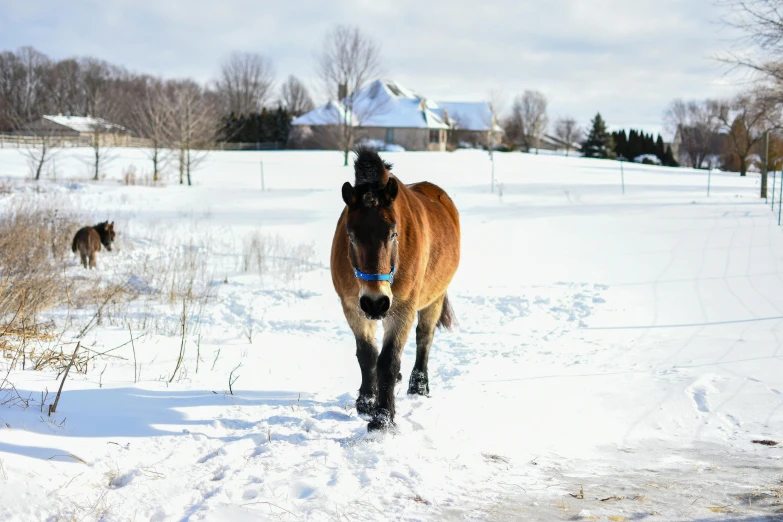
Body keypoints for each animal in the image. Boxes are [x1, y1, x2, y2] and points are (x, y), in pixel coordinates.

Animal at [330, 147, 460, 430]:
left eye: (393, 234)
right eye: (351, 236)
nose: (375, 302)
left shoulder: (402, 308)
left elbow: (388, 361)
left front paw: (383, 419)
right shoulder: (352, 307)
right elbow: (367, 356)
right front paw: (366, 402)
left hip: (434, 299)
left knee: (424, 338)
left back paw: (418, 386)